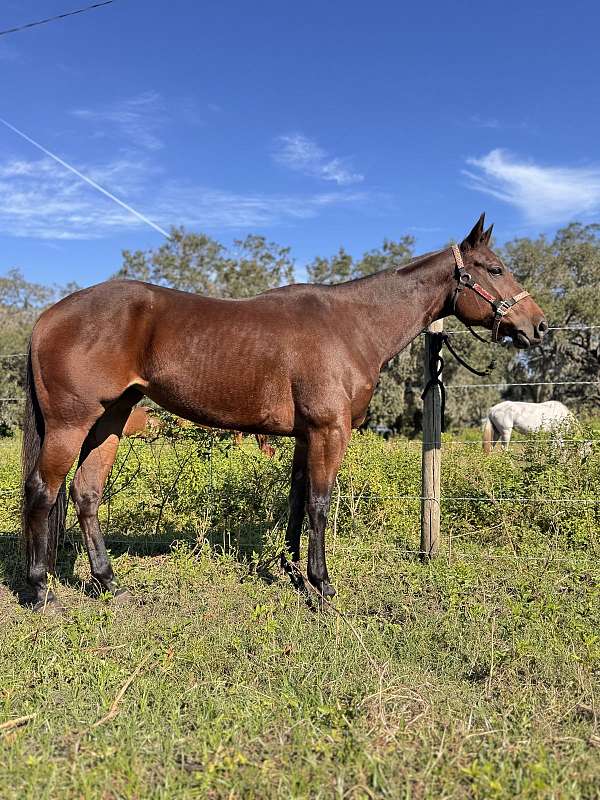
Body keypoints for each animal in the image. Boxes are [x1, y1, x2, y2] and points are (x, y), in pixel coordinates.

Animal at [19, 214, 548, 612]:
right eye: (494, 268)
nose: (537, 326)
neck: (352, 324)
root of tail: (48, 315)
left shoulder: (304, 434)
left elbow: (295, 500)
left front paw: (292, 569)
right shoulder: (329, 431)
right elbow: (318, 503)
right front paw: (322, 585)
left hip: (110, 421)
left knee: (86, 494)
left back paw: (109, 583)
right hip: (71, 424)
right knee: (43, 492)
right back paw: (42, 589)